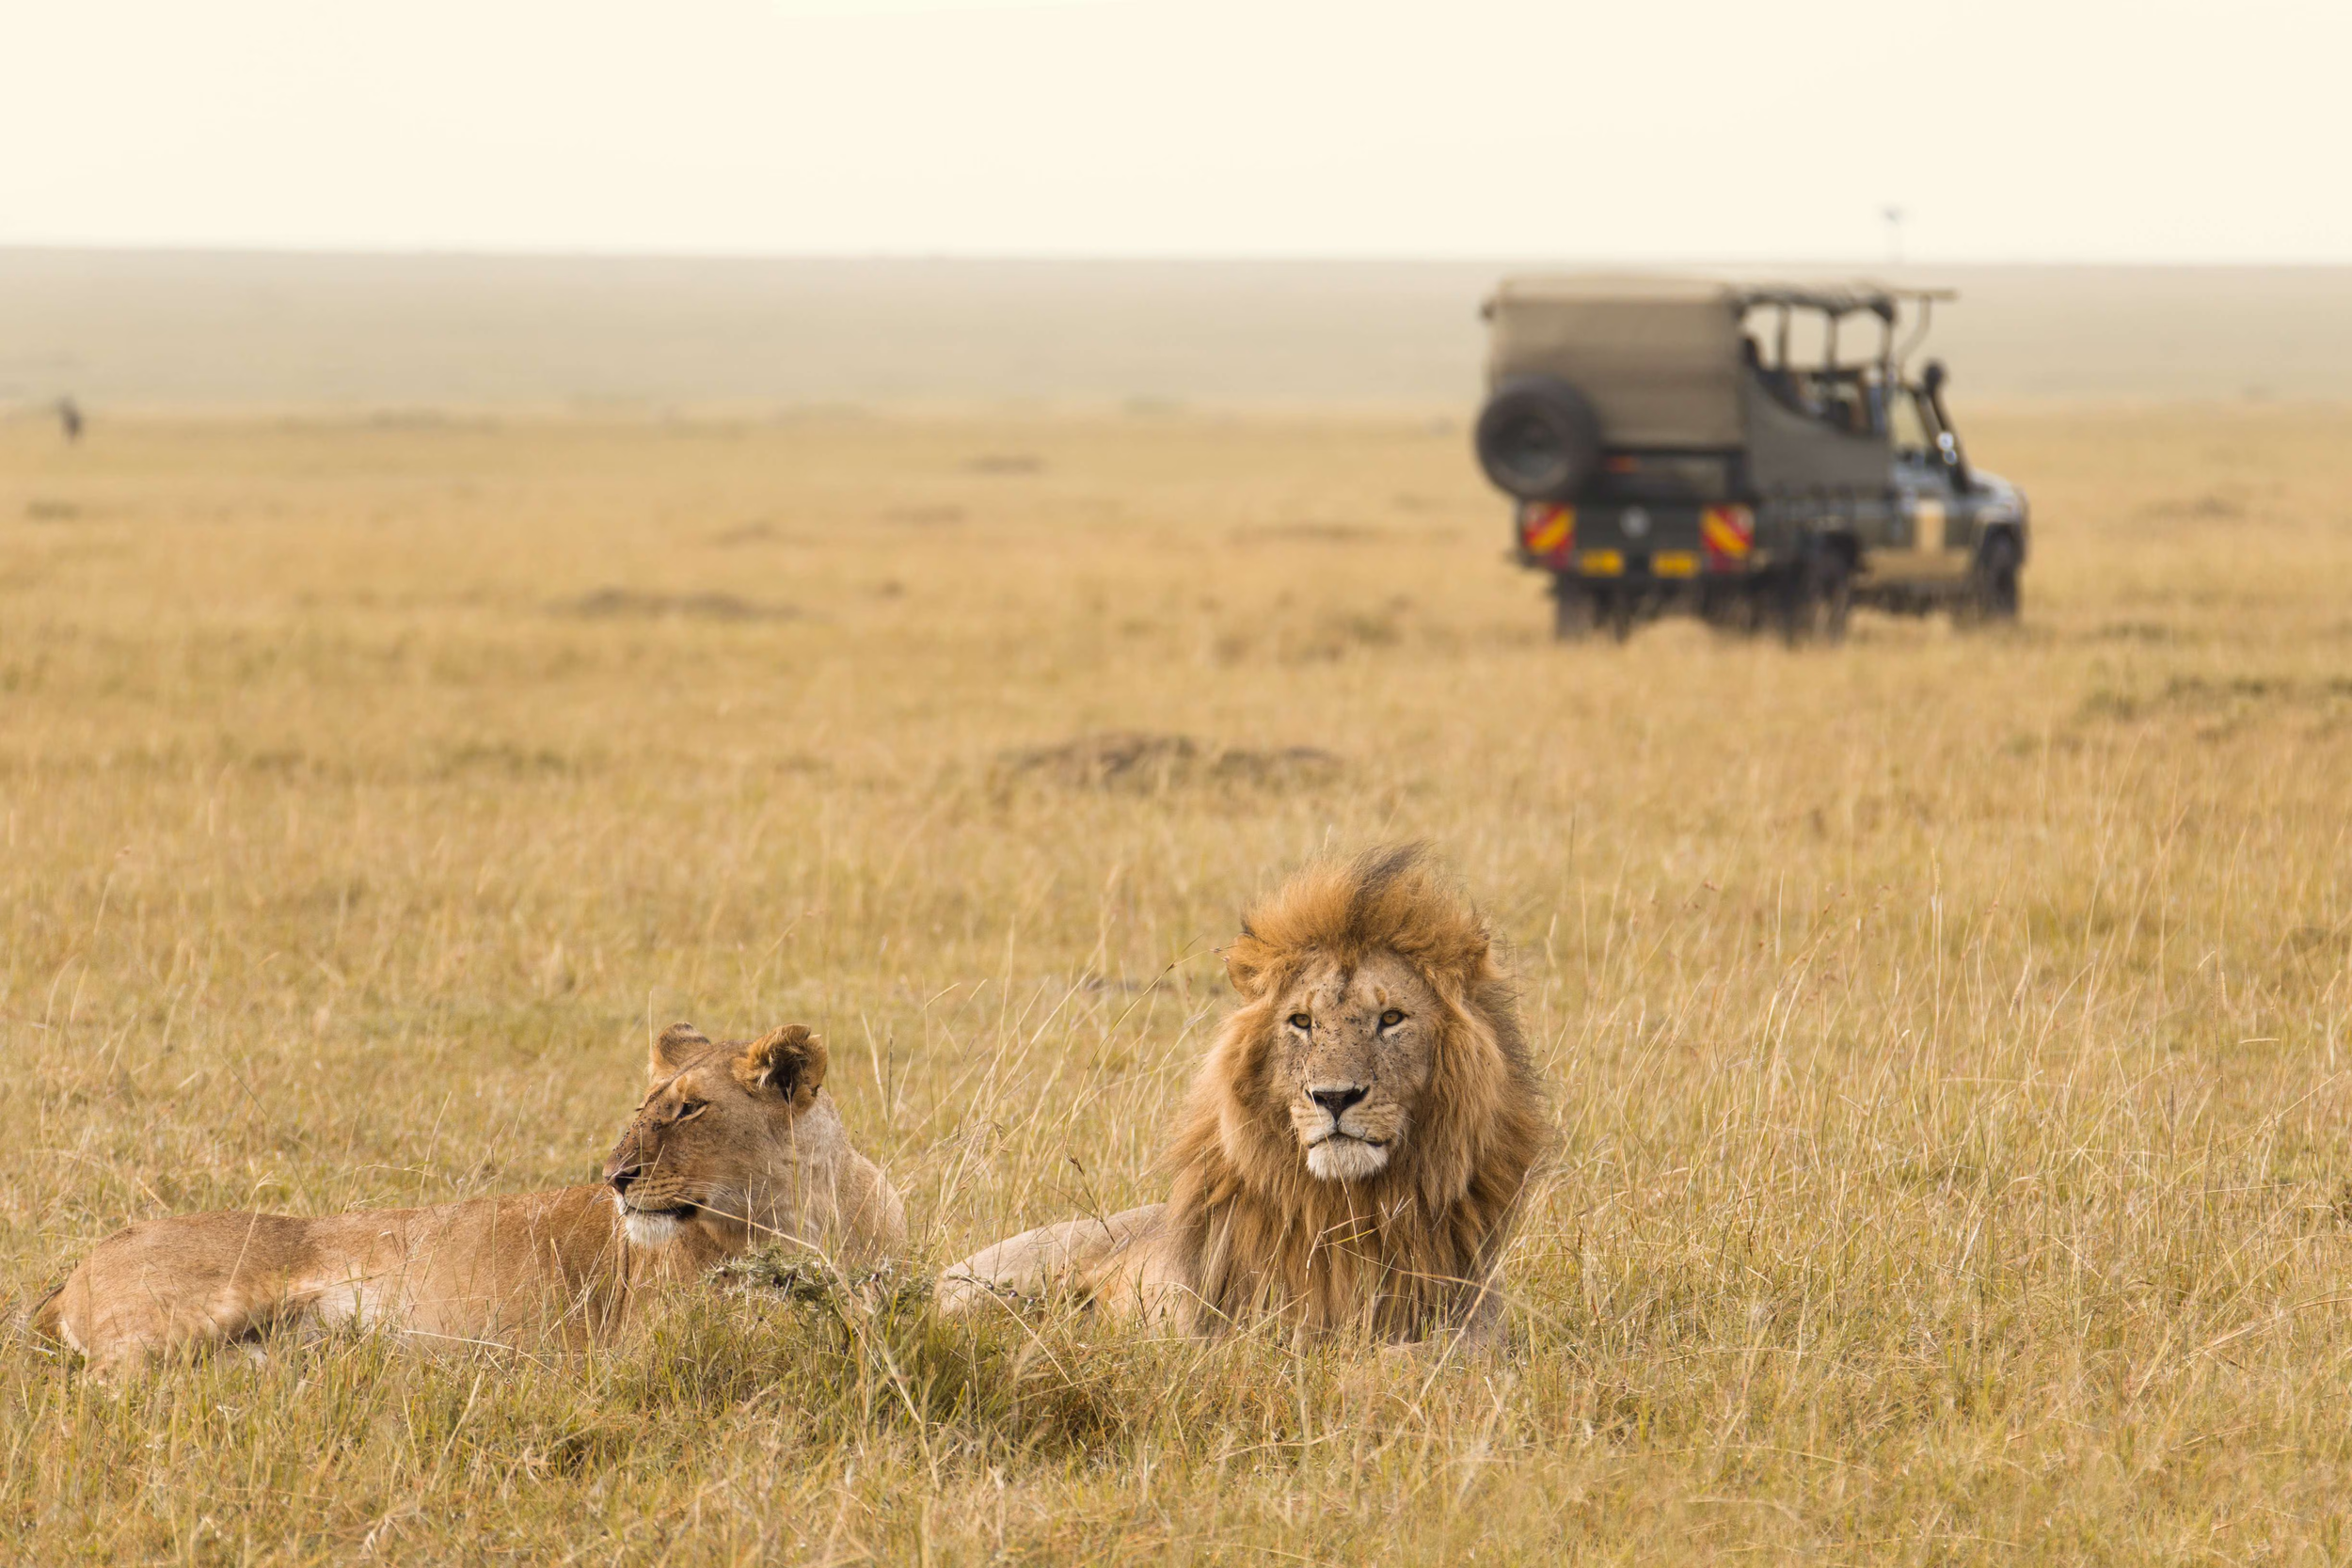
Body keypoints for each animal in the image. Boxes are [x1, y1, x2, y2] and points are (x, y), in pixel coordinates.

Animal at [32, 1022, 905, 1373]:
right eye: (644, 1104)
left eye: (690, 1109)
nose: (614, 1176)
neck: (804, 1215)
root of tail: (74, 1269)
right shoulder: (651, 1342)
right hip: (184, 1314)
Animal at [940, 845, 1547, 1346]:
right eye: (1301, 1021)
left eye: (1392, 1018)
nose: (1334, 1098)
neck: (1348, 1211)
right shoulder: (1222, 1332)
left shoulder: (1472, 1325)